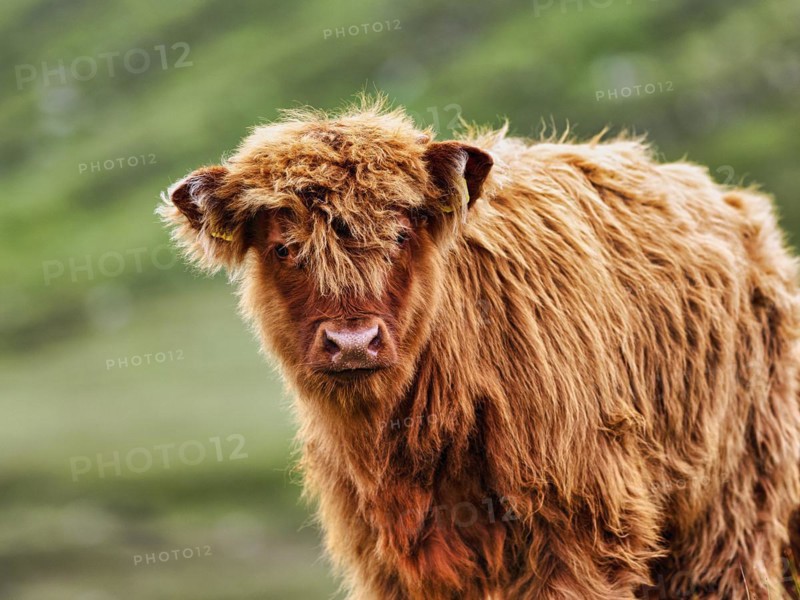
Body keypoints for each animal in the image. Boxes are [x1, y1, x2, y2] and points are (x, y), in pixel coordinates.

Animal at [159, 97, 800, 599]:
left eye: (400, 235)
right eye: (285, 248)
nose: (353, 341)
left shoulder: (582, 527)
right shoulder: (391, 563)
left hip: (729, 507)